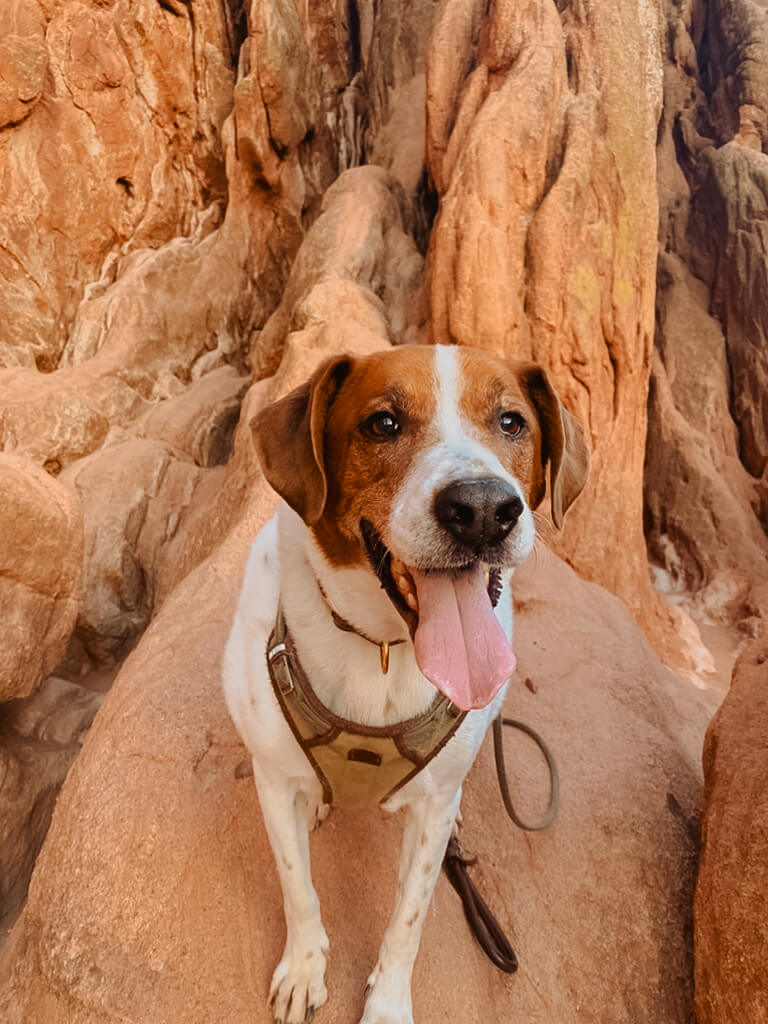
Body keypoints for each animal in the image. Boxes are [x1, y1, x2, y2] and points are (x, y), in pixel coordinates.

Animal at [222, 346, 589, 1024]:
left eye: (511, 422)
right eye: (383, 424)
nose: (483, 510)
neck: (385, 651)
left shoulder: (429, 816)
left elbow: (408, 922)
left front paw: (388, 1003)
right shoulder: (273, 780)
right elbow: (297, 886)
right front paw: (305, 967)